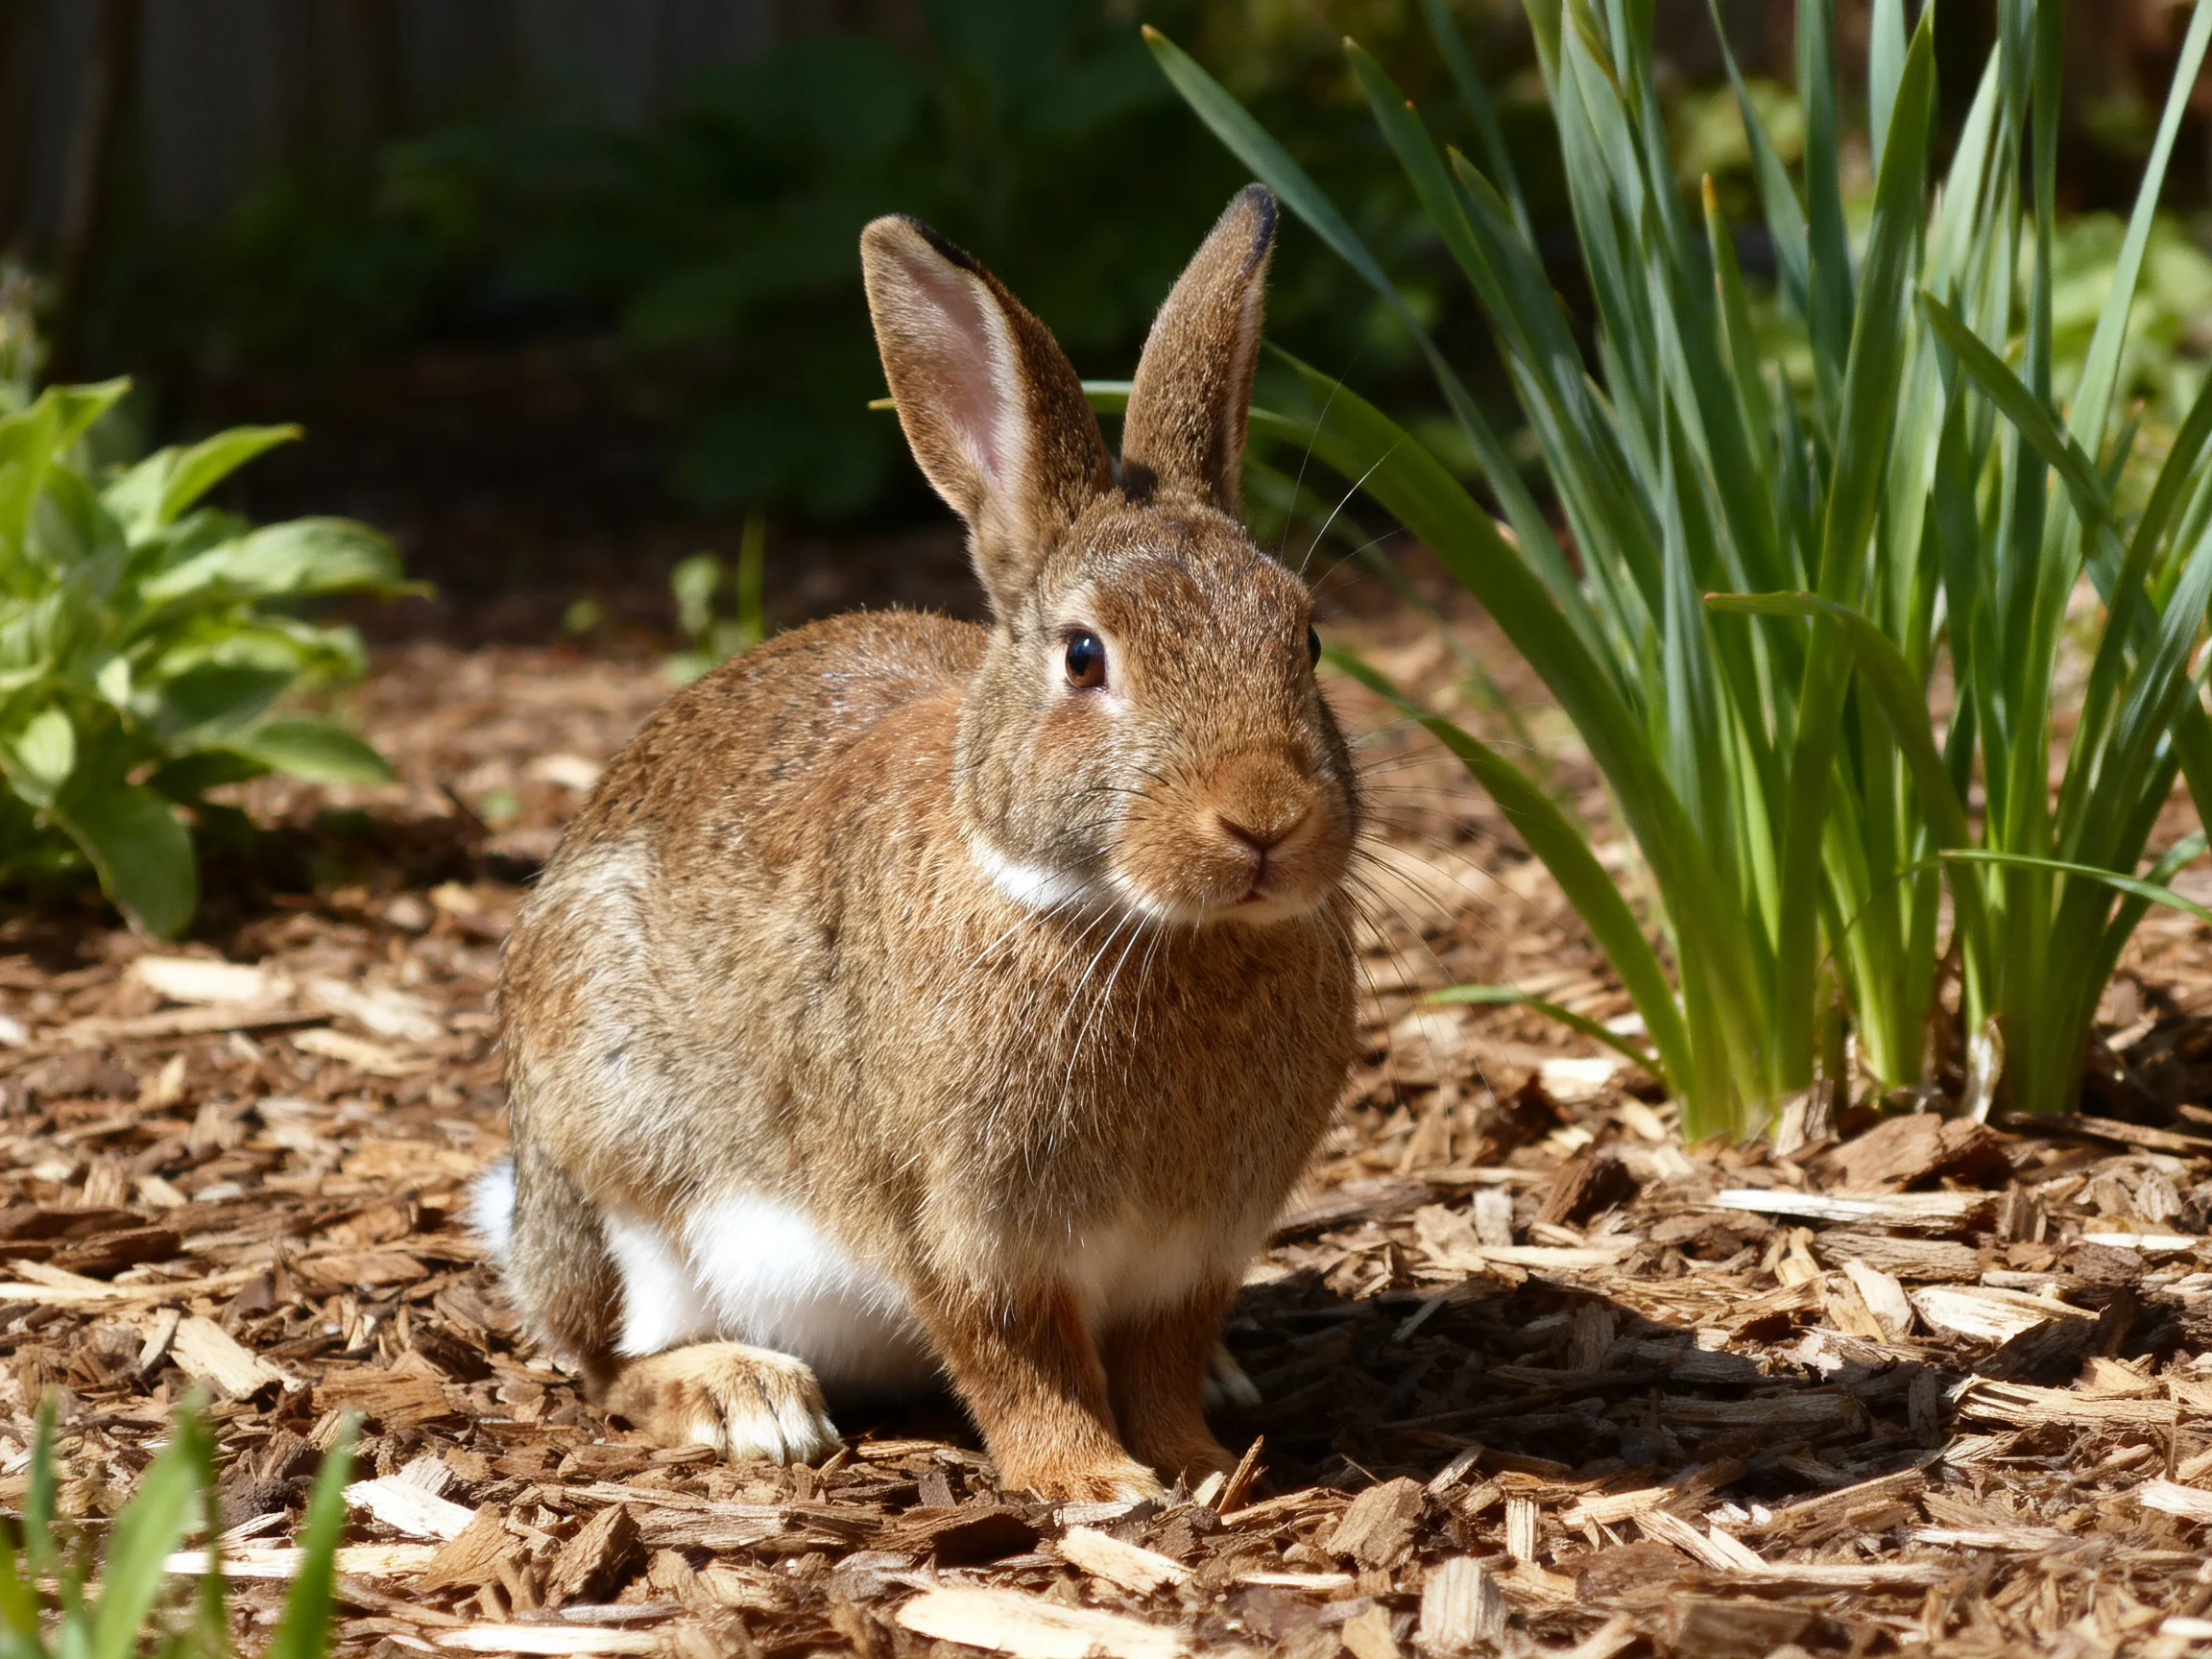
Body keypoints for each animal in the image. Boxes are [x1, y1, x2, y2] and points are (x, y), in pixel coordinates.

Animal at [472, 183, 1361, 1501]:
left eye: (1304, 640)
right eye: (1084, 657)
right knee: (607, 1364)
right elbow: (1013, 1356)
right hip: (616, 1169)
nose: (1265, 818)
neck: (1126, 918)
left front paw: (1198, 1461)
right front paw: (1092, 1482)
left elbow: (1159, 1352)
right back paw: (745, 1401)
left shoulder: (1196, 1252)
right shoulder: (957, 1225)